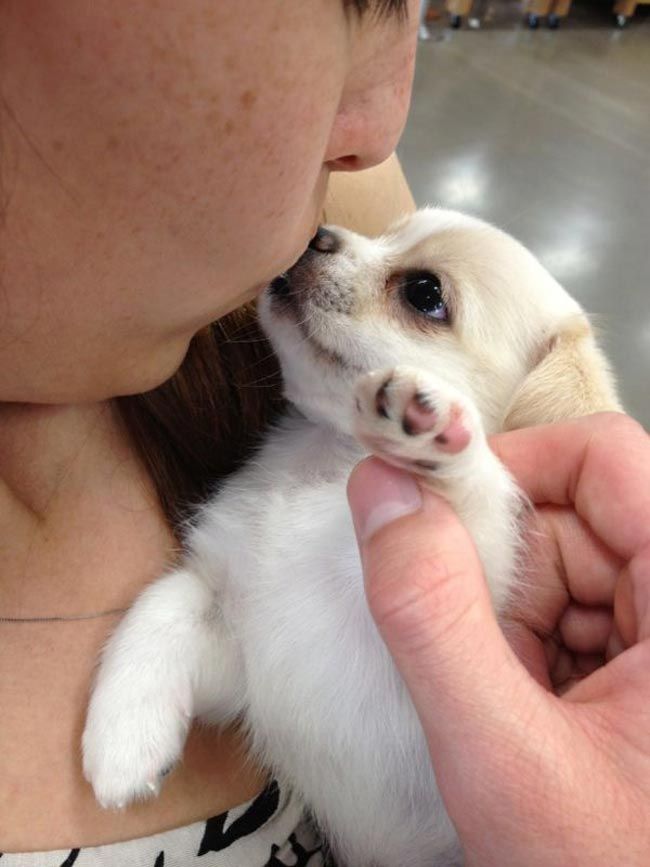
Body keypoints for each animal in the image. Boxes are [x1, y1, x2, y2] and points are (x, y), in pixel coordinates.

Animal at [83, 210, 620, 867]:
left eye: (425, 293)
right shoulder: (240, 632)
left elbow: (478, 508)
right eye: (384, 232)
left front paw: (438, 430)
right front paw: (121, 739)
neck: (326, 463)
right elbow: (160, 608)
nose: (317, 233)